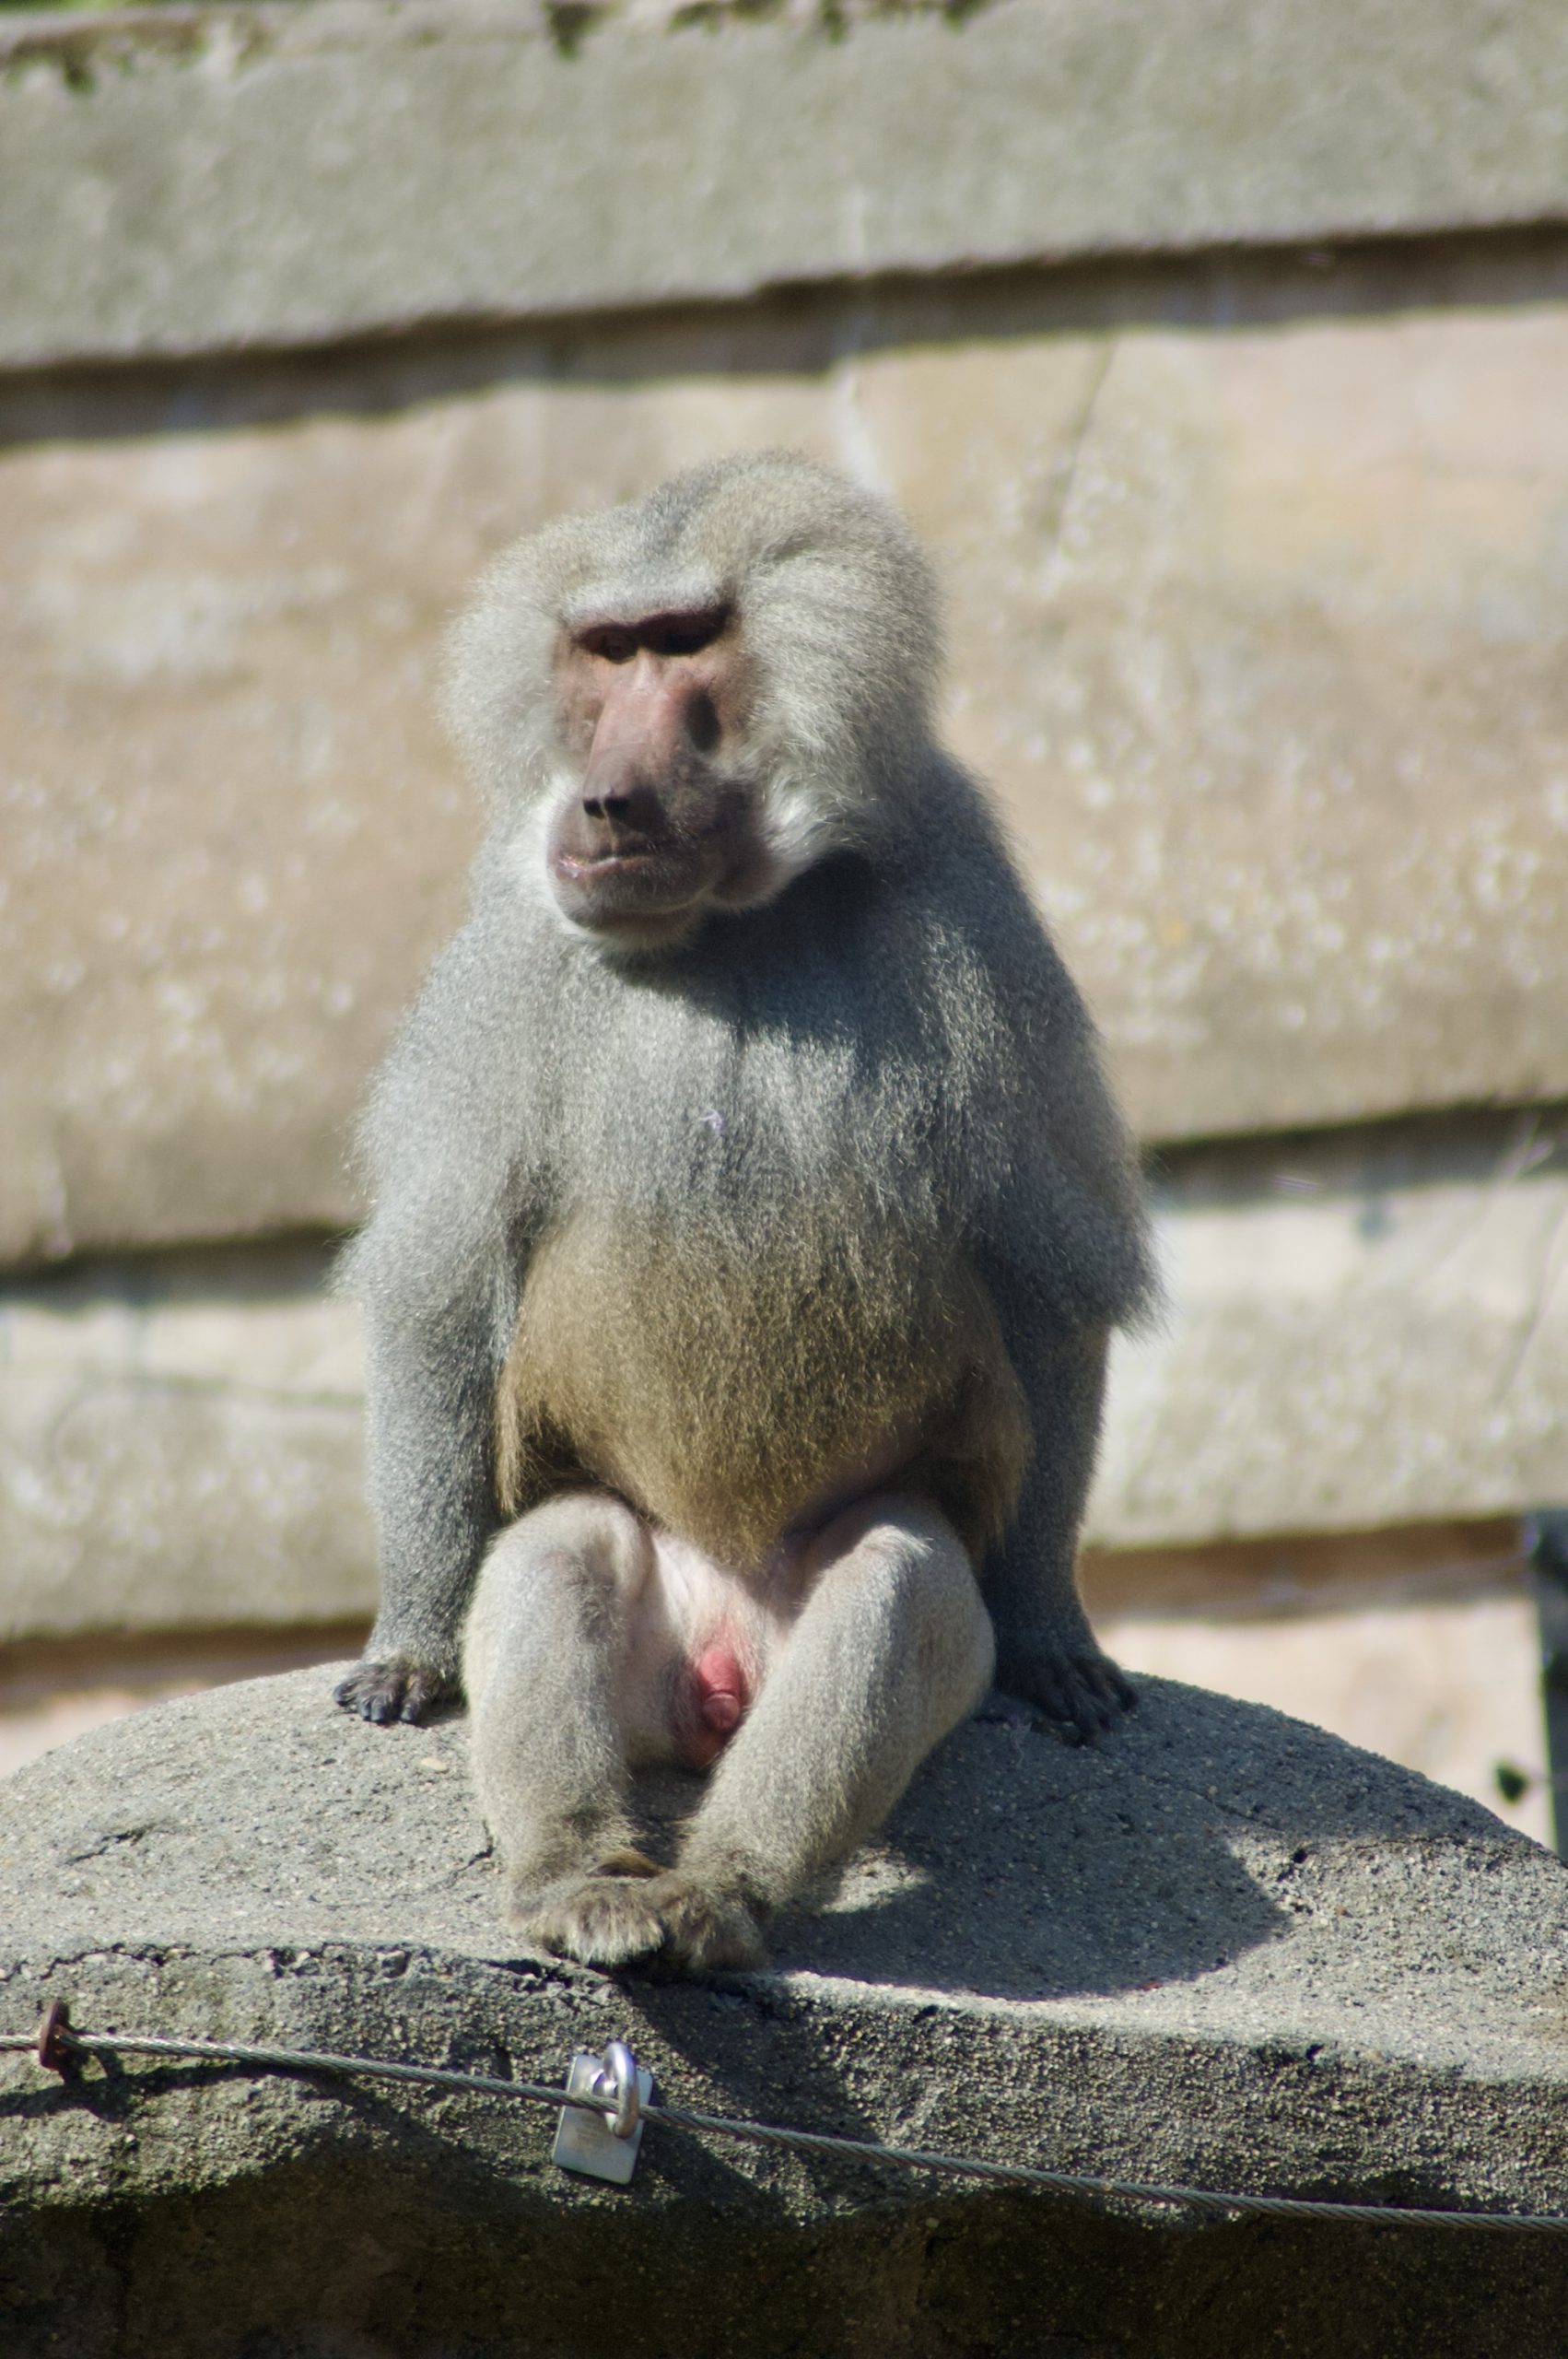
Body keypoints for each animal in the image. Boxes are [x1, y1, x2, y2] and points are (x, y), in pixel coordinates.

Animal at [335, 451, 1153, 1973]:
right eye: (602, 654)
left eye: (681, 646)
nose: (601, 805)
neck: (723, 926)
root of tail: (716, 1663)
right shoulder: (505, 957)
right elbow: (440, 1283)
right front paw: (408, 1644)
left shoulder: (971, 913)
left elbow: (1047, 1288)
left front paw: (1048, 1633)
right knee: (553, 1558)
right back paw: (580, 1886)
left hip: (832, 1602)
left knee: (890, 1582)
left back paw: (718, 1892)